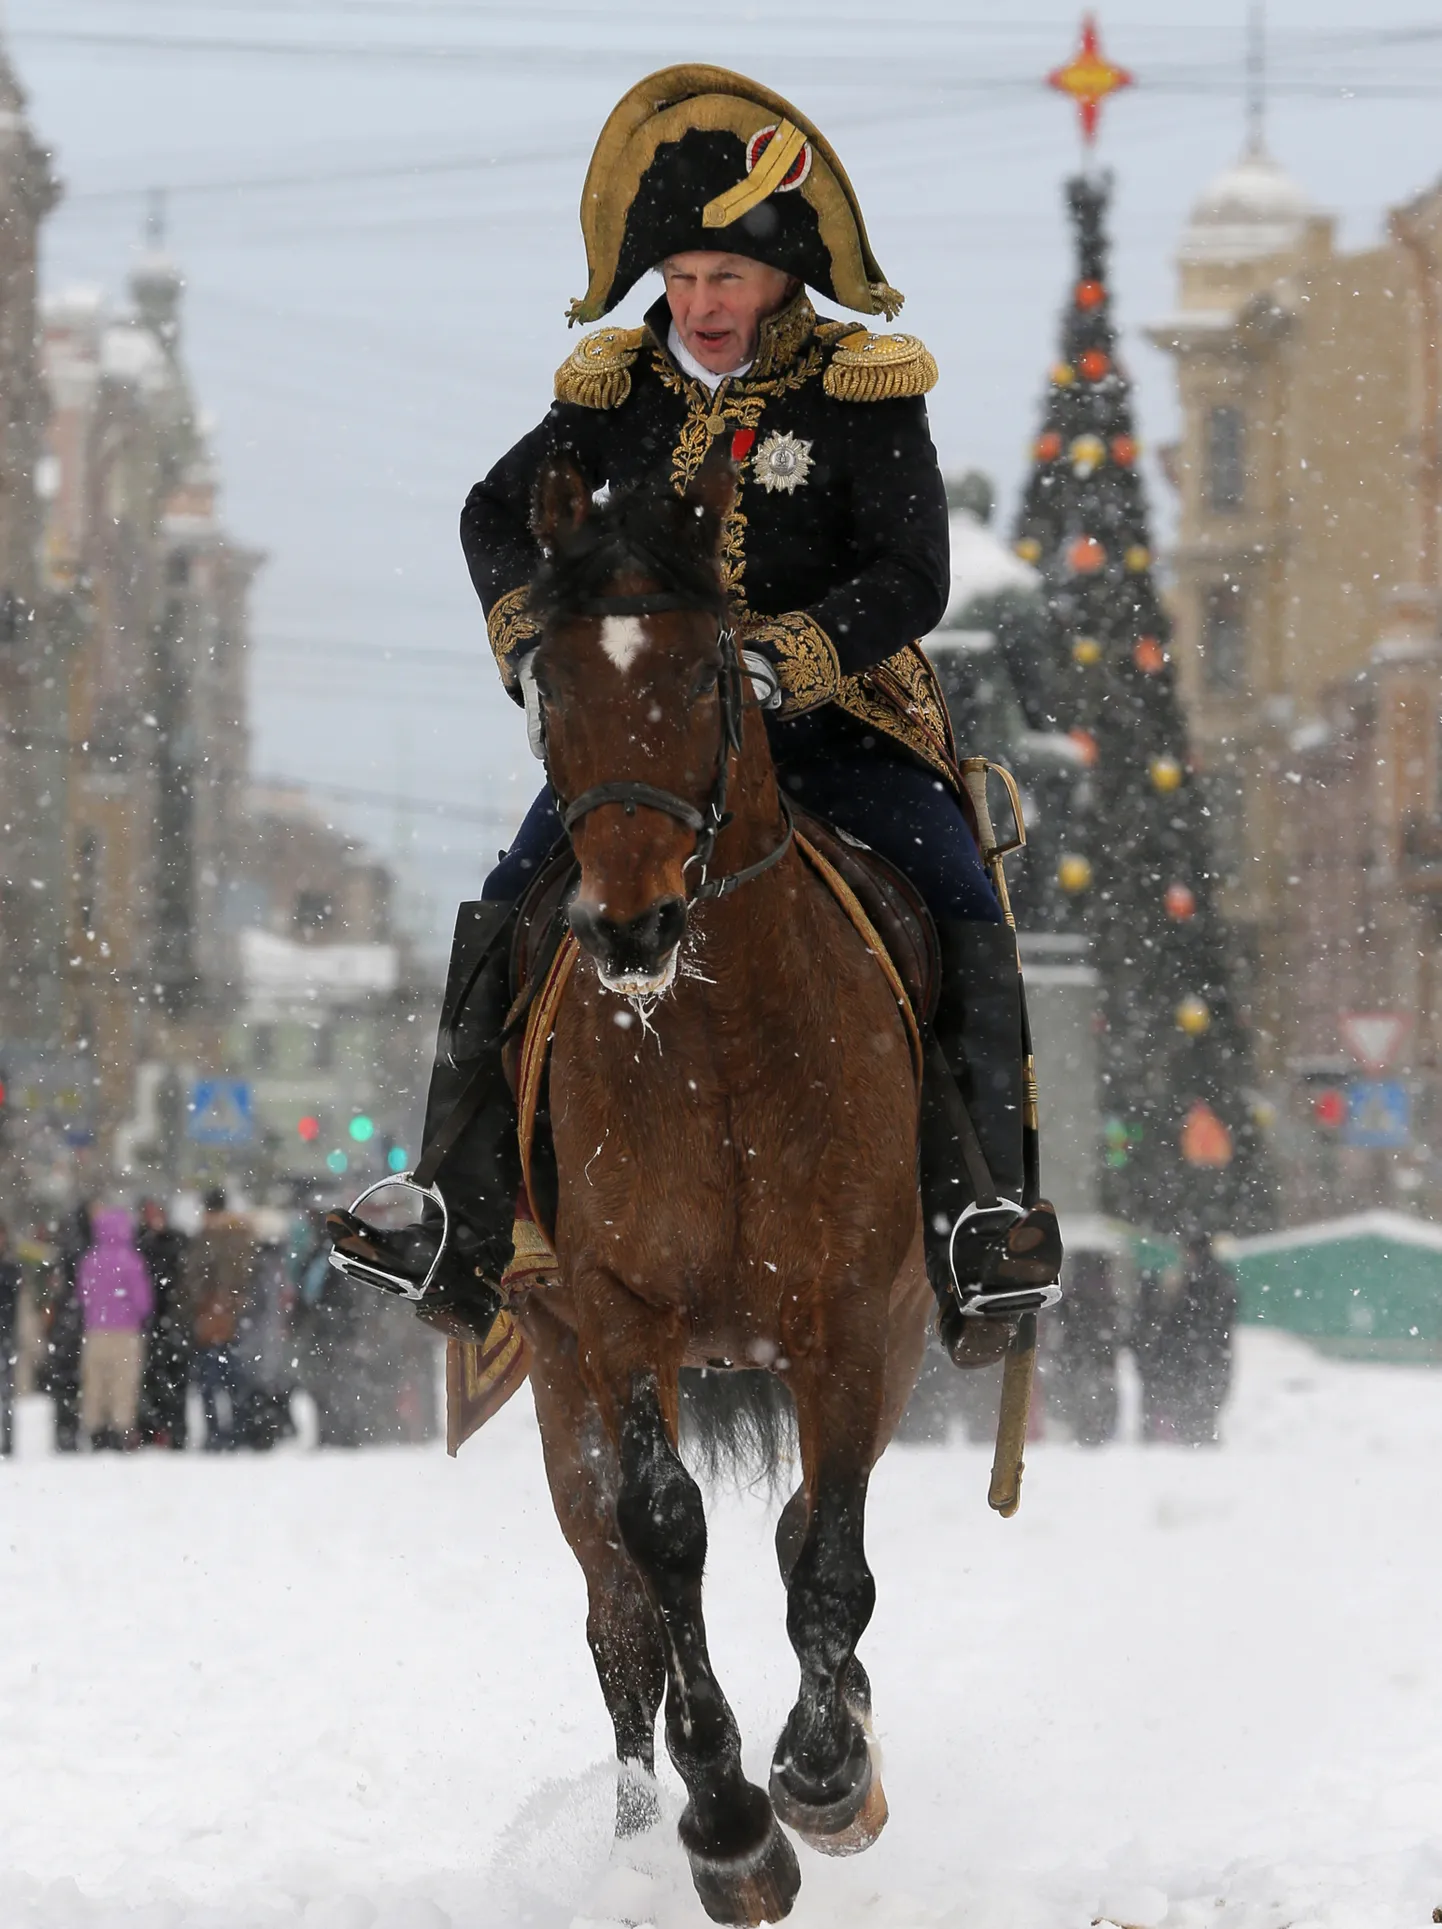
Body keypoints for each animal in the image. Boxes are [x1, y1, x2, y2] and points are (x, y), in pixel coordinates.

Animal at [516, 443, 967, 1921]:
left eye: (707, 669)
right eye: (551, 682)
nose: (629, 923)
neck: (713, 1043)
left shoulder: (854, 1320)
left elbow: (826, 1558)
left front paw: (822, 1778)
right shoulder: (616, 1318)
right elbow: (665, 1541)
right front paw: (726, 1826)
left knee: (803, 1534)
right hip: (553, 1375)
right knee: (616, 1622)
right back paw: (634, 1832)